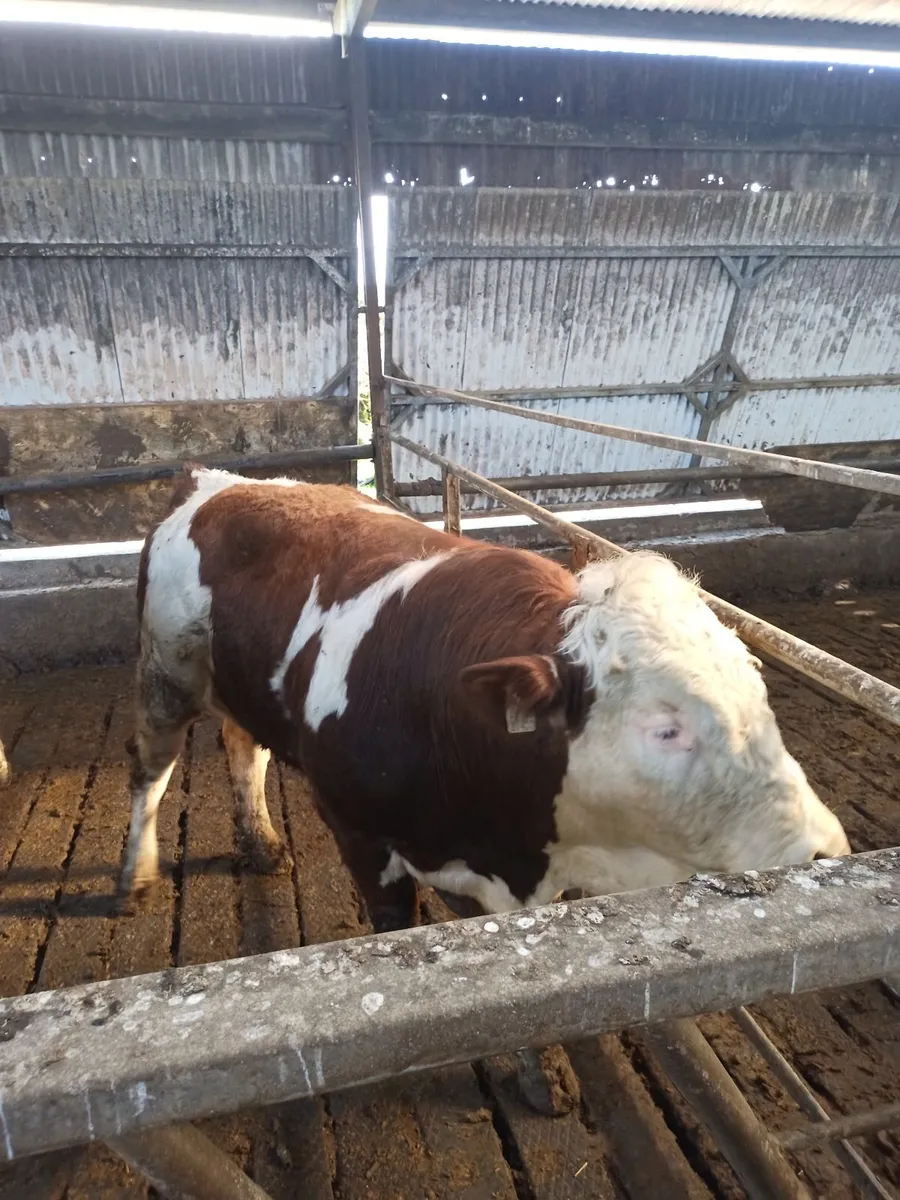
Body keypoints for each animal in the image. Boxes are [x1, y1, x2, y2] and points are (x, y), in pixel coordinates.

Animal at [119, 465, 849, 934]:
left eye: (760, 699)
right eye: (665, 729)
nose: (824, 854)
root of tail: (215, 479)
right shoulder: (359, 835)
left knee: (244, 747)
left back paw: (262, 843)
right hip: (163, 672)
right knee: (151, 771)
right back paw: (134, 876)